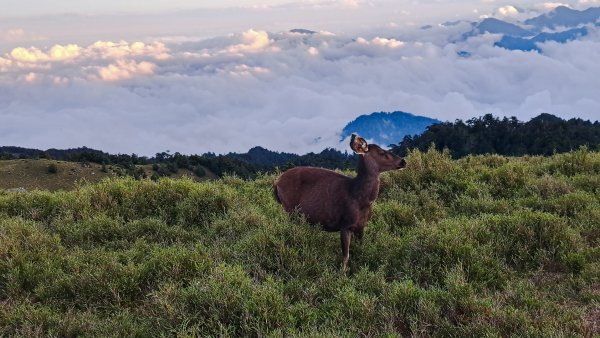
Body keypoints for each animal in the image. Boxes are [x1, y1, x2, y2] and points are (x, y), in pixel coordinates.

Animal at [274, 133, 406, 270]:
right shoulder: (345, 223)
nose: (403, 161)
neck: (360, 199)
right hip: (290, 209)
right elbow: (345, 256)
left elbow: (360, 249)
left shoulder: (361, 226)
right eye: (382, 152)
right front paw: (342, 273)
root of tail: (277, 183)